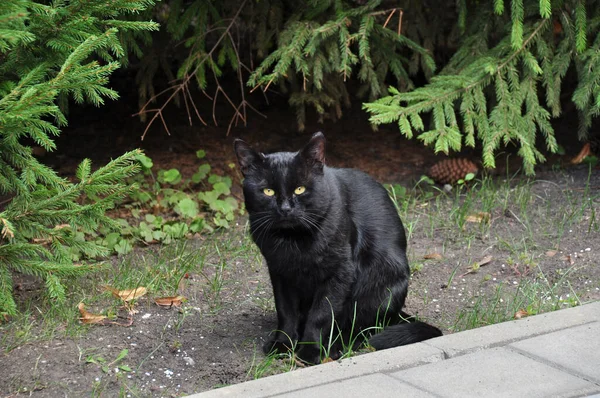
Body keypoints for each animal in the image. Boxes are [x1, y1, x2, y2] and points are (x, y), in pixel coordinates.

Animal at [234, 133, 440, 364]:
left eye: (300, 189)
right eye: (268, 191)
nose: (285, 208)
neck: (292, 240)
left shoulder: (339, 271)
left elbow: (321, 314)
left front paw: (310, 351)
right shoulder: (279, 272)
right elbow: (286, 311)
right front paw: (283, 343)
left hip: (381, 283)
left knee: (363, 328)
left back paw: (337, 346)